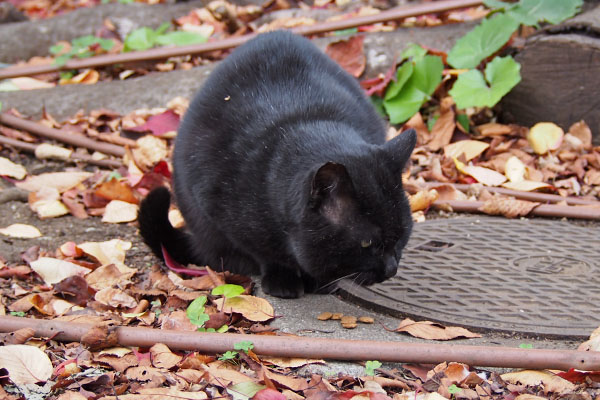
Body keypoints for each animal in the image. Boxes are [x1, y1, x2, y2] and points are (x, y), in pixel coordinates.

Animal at [138, 30, 414, 296]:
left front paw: (319, 282)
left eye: (402, 234)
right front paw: (283, 280)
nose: (391, 268)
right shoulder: (220, 212)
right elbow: (264, 253)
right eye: (367, 243)